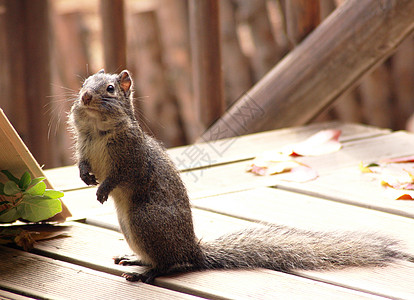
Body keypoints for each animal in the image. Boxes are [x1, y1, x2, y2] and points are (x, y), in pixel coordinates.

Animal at [69, 69, 410, 284]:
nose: (84, 96)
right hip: (132, 227)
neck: (98, 131)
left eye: (110, 89)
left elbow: (122, 175)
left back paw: (147, 273)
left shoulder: (133, 157)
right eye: (85, 82)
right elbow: (83, 163)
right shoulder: (85, 146)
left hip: (145, 220)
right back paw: (136, 260)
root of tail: (192, 249)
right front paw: (86, 176)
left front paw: (103, 189)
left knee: (168, 263)